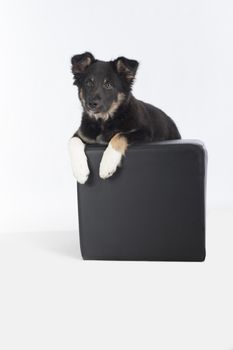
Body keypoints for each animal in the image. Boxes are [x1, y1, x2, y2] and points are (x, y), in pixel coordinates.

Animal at [68, 52, 181, 183]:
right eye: (88, 83)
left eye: (108, 85)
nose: (91, 104)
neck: (104, 121)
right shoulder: (81, 134)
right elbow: (73, 141)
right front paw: (80, 172)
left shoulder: (145, 132)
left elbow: (119, 135)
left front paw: (107, 165)